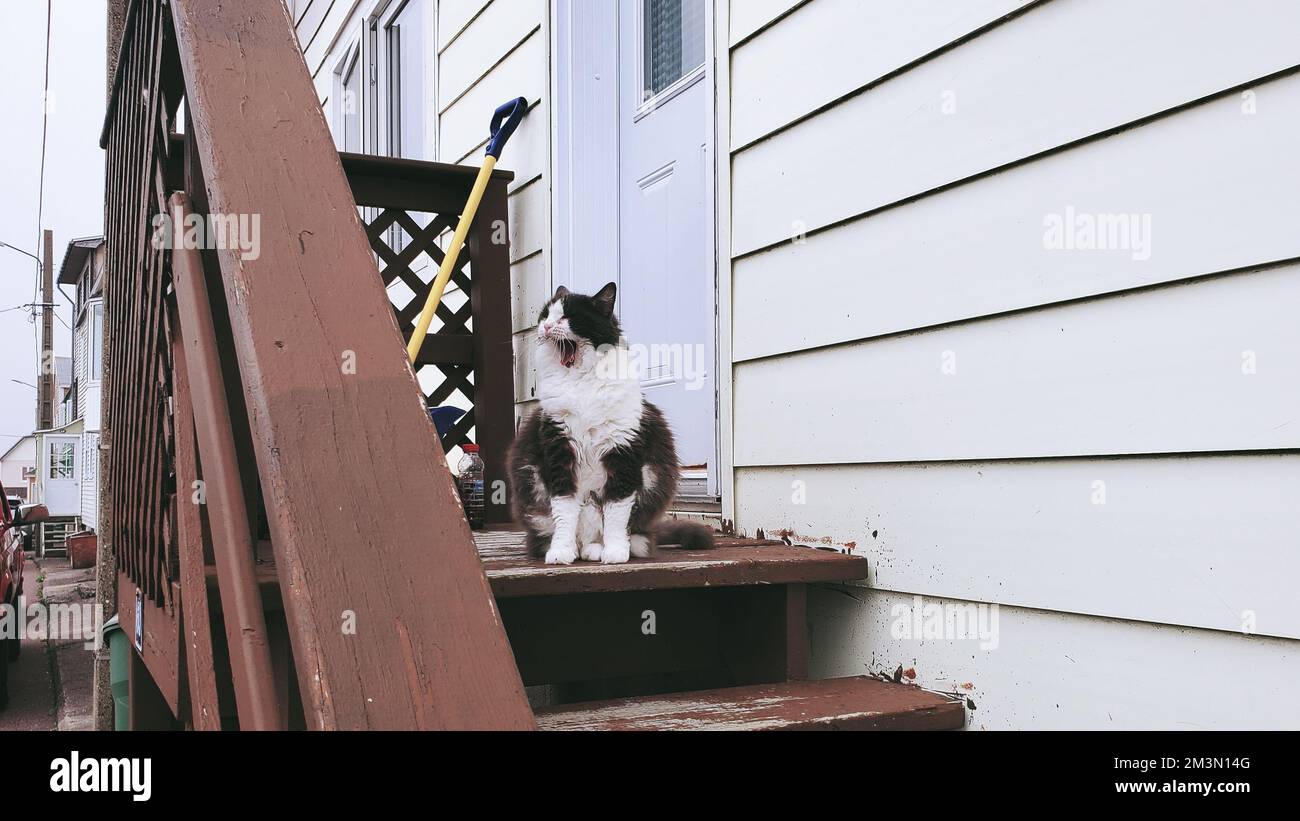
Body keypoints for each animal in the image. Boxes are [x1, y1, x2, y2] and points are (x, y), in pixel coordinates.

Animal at [509, 283, 717, 563]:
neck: (580, 381)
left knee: (631, 534)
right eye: (545, 316)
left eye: (567, 316)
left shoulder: (622, 454)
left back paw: (605, 549)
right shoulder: (559, 452)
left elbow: (616, 513)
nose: (547, 327)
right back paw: (582, 550)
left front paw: (616, 552)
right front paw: (561, 552)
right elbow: (564, 512)